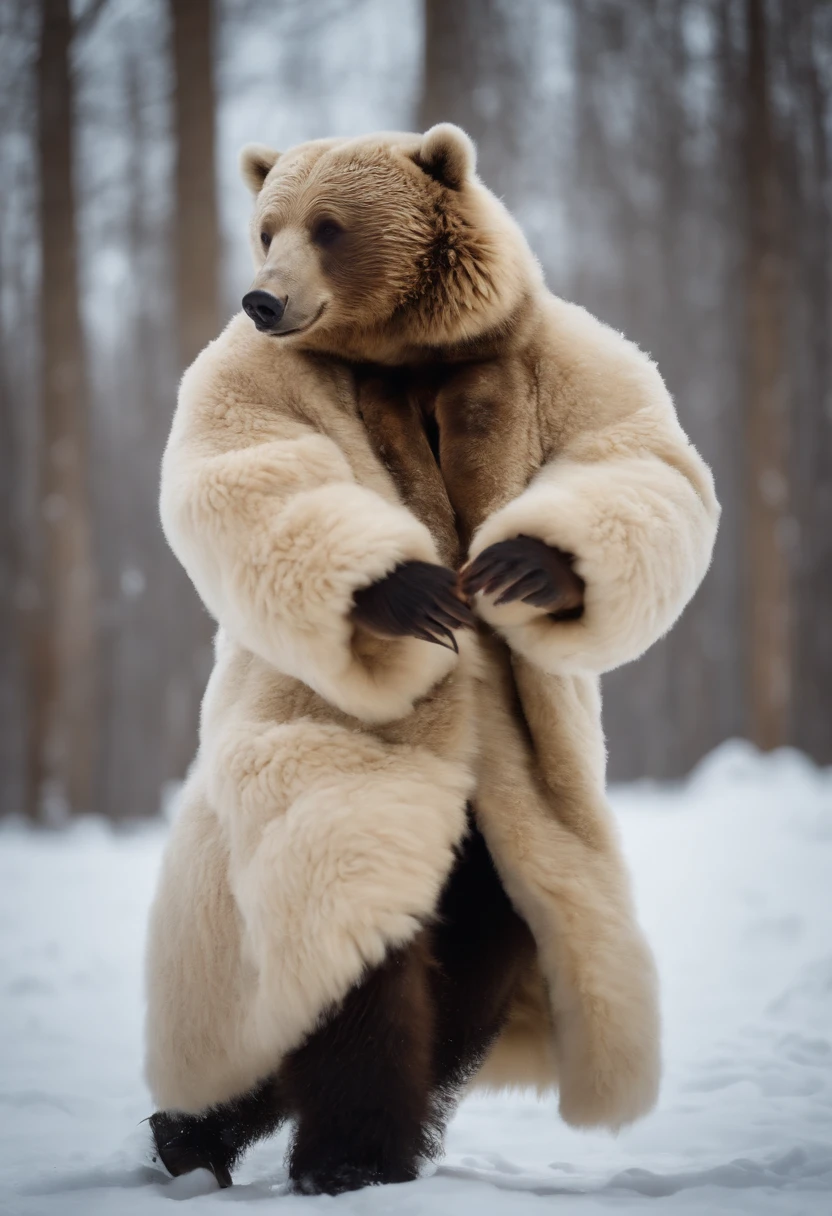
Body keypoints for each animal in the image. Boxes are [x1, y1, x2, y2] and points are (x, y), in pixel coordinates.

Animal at [145, 125, 720, 1196]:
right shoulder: (252, 376)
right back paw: (234, 1132)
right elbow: (247, 465)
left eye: (329, 226)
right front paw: (410, 589)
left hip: (513, 821)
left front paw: (521, 563)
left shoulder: (546, 354)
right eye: (267, 227)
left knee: (486, 951)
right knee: (347, 901)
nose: (262, 299)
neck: (408, 358)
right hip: (344, 767)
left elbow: (642, 461)